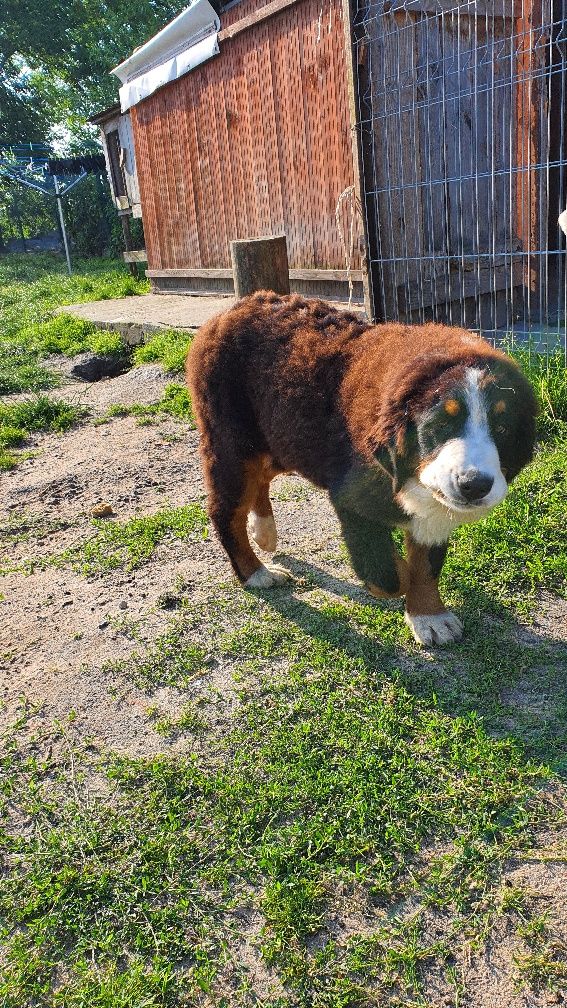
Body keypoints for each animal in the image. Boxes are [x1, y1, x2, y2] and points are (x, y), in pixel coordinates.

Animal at [186, 290, 532, 645]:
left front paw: (429, 616)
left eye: (503, 429)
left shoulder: (435, 510)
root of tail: (237, 307)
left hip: (282, 439)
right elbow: (389, 574)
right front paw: (402, 578)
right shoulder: (352, 497)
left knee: (261, 480)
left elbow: (426, 566)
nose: (474, 484)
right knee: (226, 510)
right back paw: (255, 572)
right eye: (440, 426)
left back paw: (264, 531)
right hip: (233, 443)